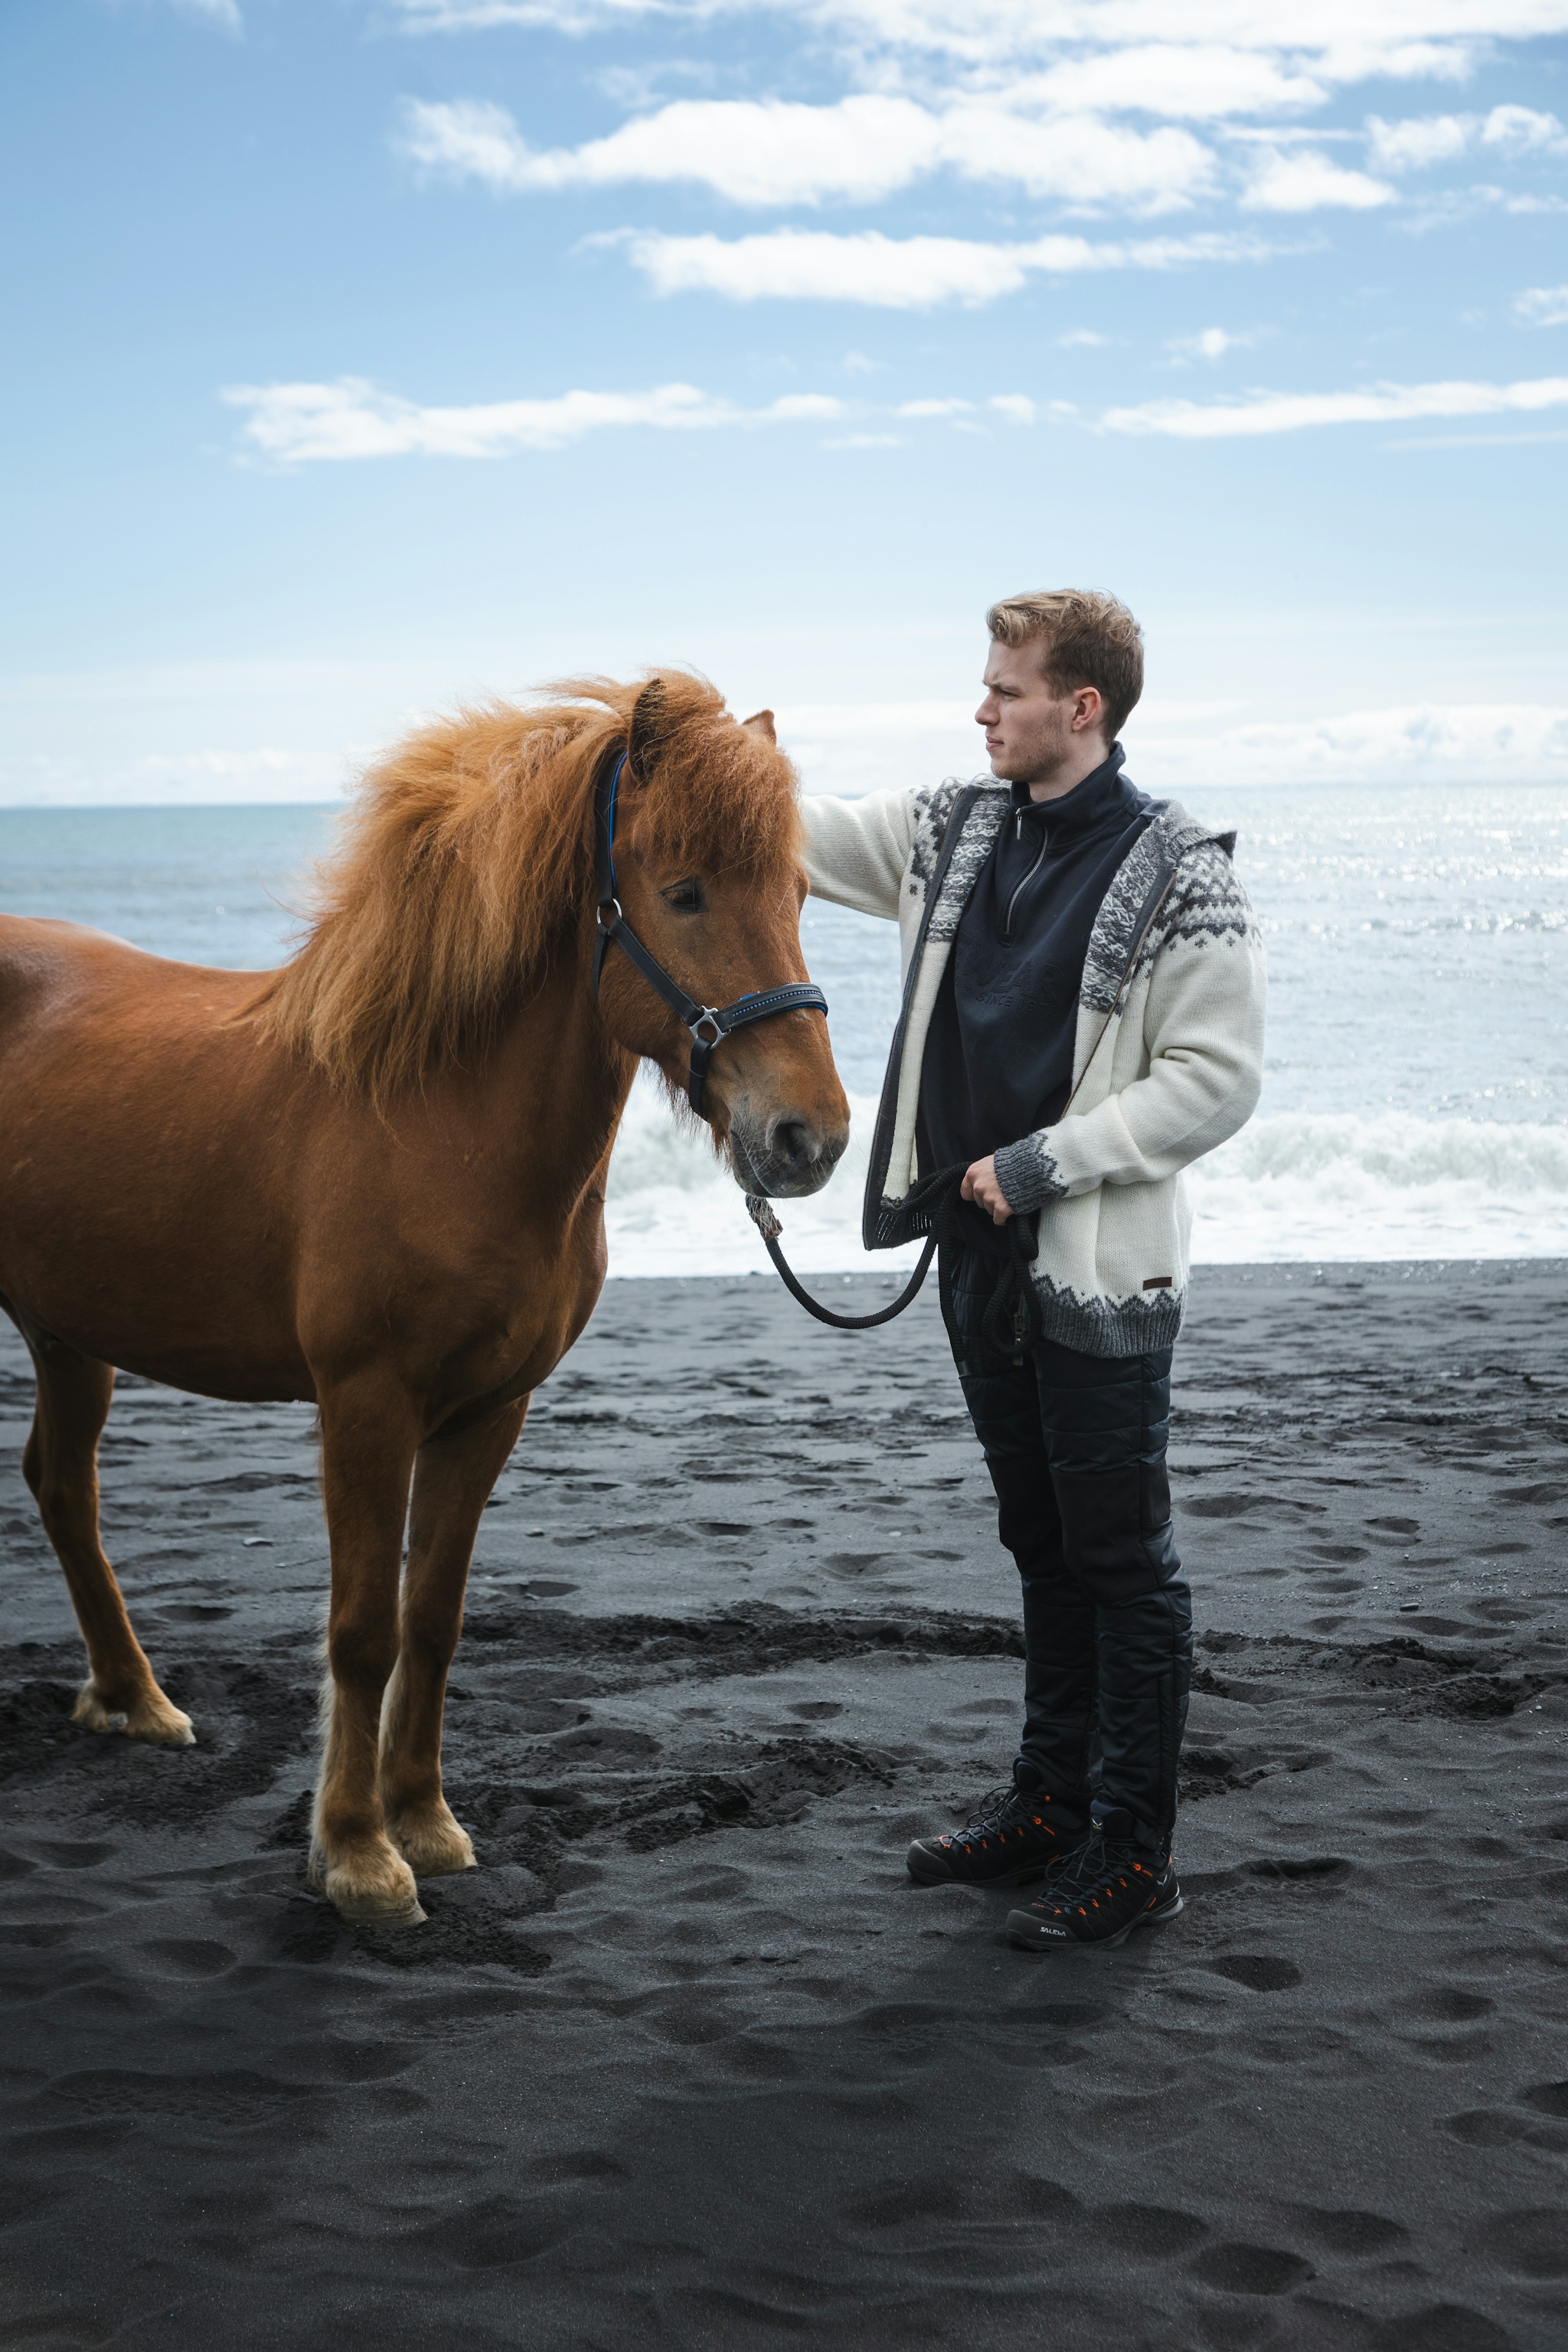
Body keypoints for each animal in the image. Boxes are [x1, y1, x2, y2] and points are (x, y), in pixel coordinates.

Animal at [0, 671, 849, 1925]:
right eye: (685, 893)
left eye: (795, 894)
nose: (809, 1139)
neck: (439, 1122)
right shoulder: (367, 1406)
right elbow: (362, 1630)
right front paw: (355, 1853)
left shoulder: (488, 1411)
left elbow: (433, 1622)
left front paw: (429, 1824)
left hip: (71, 1334)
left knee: (63, 1486)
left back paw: (134, 1700)